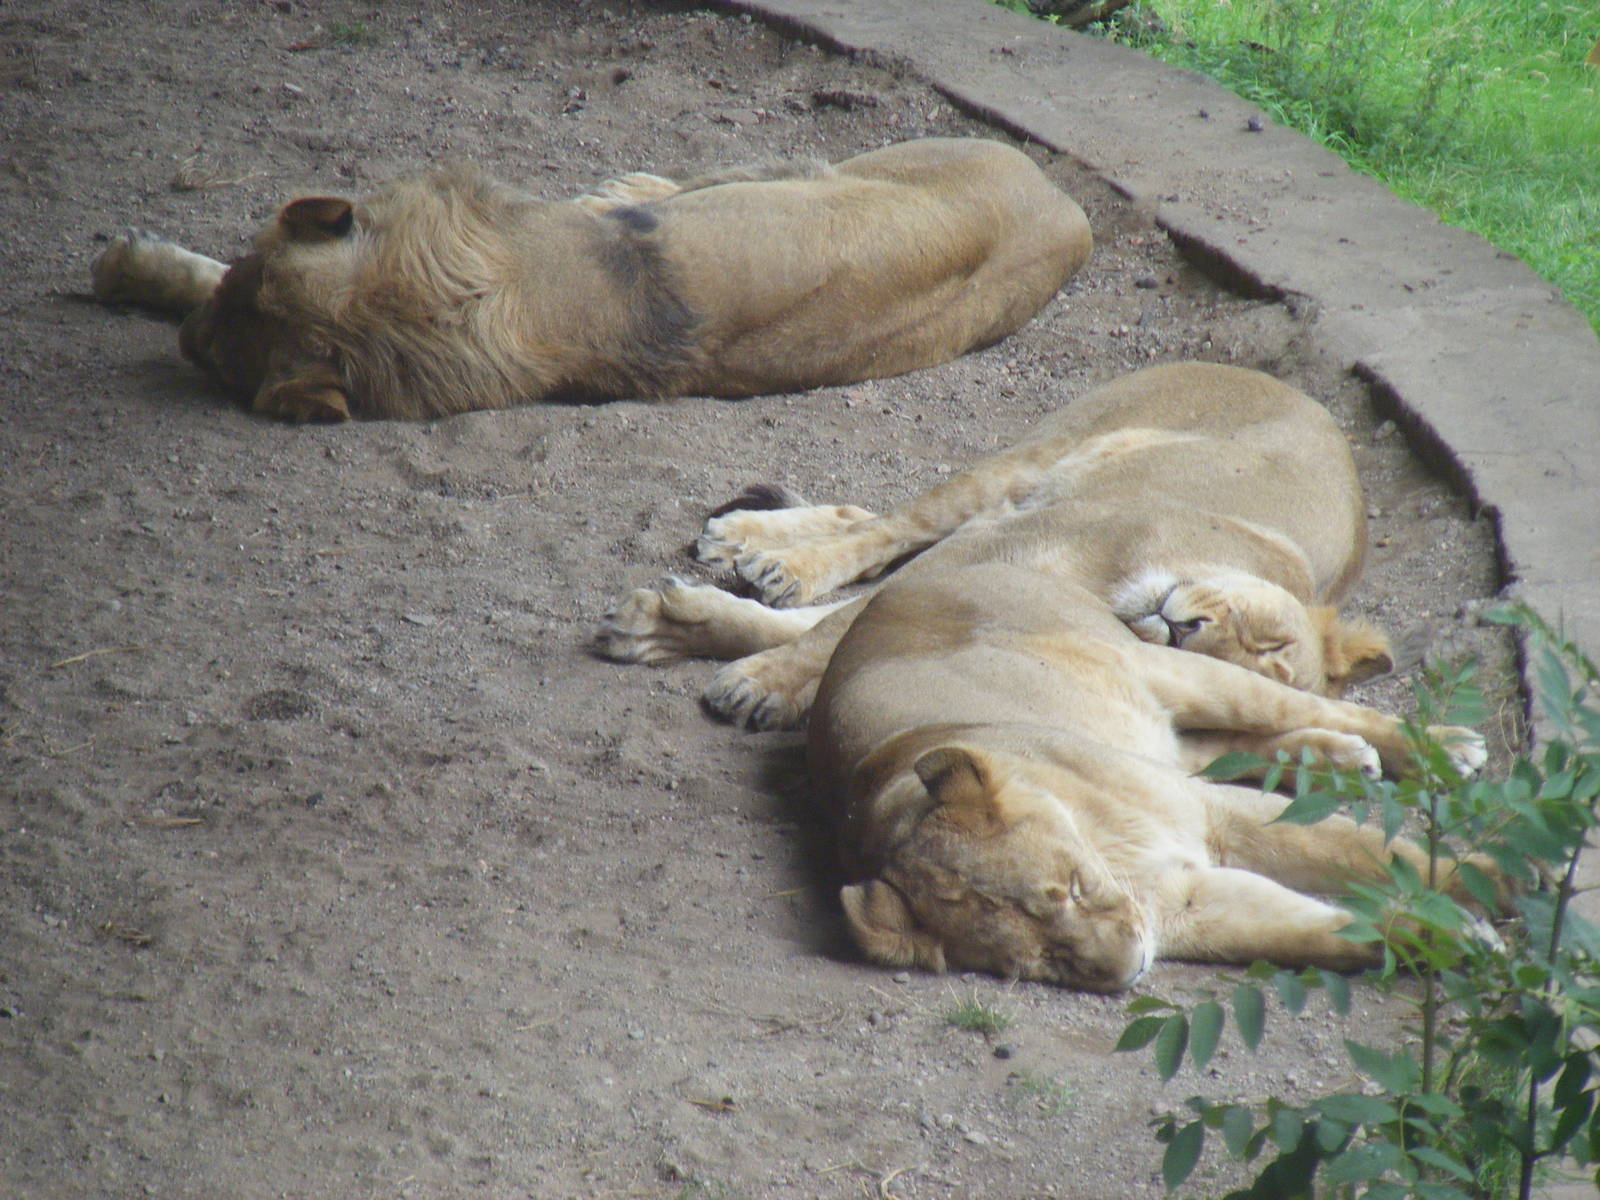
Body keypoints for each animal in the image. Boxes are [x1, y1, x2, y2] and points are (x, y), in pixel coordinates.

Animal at [90, 138, 1091, 422]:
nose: (186, 346)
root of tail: (1067, 208)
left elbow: (196, 270)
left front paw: (129, 266)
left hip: (839, 160)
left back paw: (629, 186)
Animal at [599, 363, 1501, 989]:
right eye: (1264, 635)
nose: (1183, 625)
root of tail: (1292, 388)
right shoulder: (1017, 544)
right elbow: (829, 627)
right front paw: (757, 666)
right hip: (1033, 463)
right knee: (889, 525)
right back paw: (758, 559)